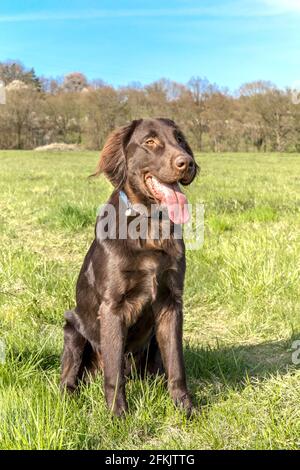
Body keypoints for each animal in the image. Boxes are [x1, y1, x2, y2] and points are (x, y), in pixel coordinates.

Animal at [60, 117, 198, 414]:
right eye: (150, 142)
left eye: (180, 139)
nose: (188, 163)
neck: (149, 226)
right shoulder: (113, 306)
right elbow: (113, 373)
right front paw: (117, 414)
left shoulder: (171, 302)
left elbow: (177, 364)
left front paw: (185, 408)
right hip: (73, 329)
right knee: (69, 378)